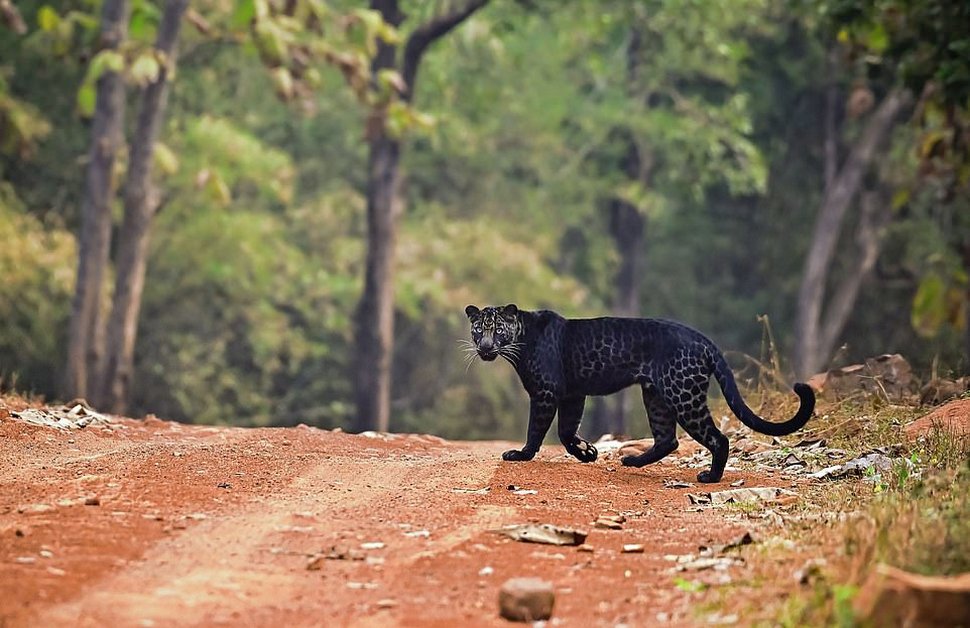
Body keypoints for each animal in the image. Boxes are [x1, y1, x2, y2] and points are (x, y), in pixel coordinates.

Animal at [463, 304, 815, 483]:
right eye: (478, 329)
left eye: (497, 329)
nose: (485, 347)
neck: (521, 341)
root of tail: (702, 339)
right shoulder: (573, 394)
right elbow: (566, 430)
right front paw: (587, 452)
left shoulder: (547, 392)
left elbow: (537, 429)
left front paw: (521, 454)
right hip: (656, 396)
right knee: (667, 439)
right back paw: (633, 461)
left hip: (682, 395)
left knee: (717, 438)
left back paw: (710, 477)